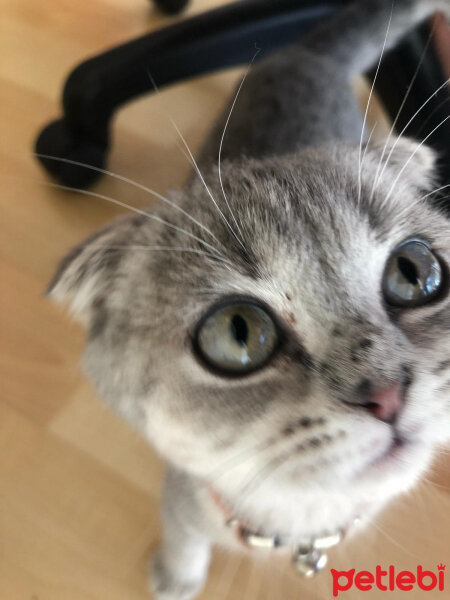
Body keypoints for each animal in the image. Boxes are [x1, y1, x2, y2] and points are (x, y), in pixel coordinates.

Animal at [47, 1, 448, 600]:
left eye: (415, 273)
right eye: (238, 333)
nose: (388, 395)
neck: (301, 522)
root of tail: (305, 50)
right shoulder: (183, 499)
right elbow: (184, 538)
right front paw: (176, 576)